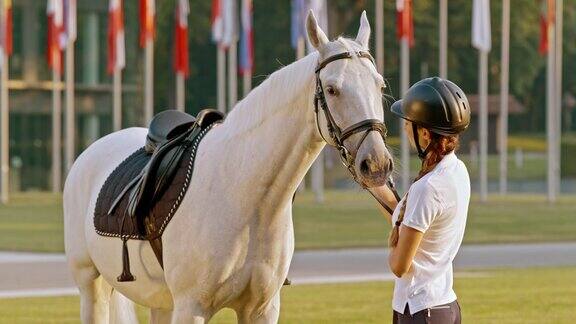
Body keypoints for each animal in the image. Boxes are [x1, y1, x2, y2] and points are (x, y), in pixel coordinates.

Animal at [65, 11, 394, 322]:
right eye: (332, 89)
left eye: (379, 86)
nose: (376, 163)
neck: (246, 196)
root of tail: (91, 153)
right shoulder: (191, 308)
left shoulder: (261, 309)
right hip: (91, 285)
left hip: (161, 301)